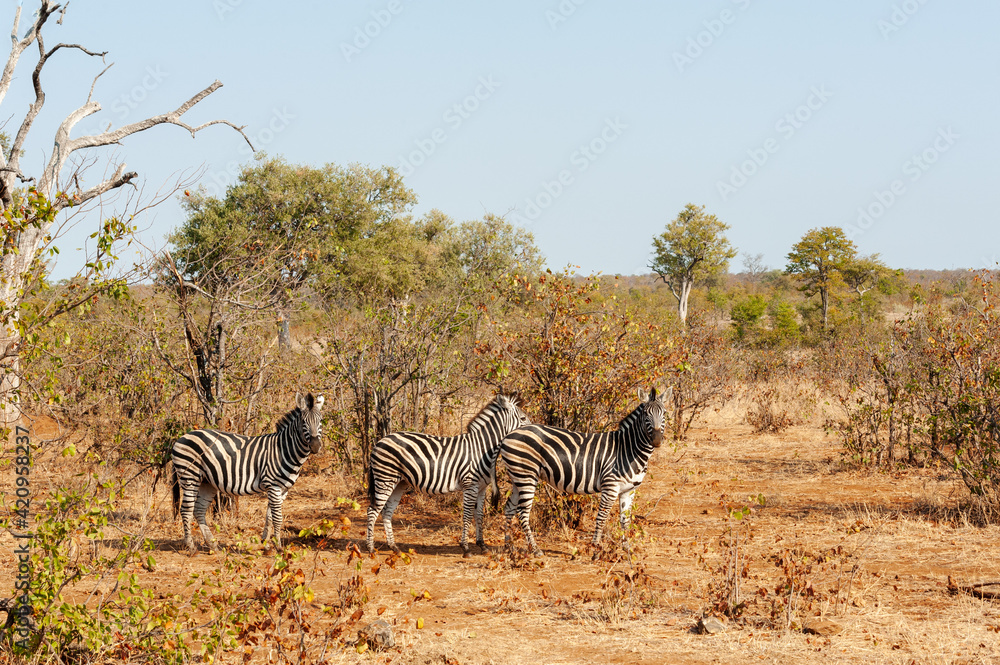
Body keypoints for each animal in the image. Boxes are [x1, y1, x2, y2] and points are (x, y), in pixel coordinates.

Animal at [169, 392, 325, 553]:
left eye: (321, 420)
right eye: (303, 422)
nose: (315, 446)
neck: (283, 450)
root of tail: (181, 437)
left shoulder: (283, 489)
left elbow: (269, 517)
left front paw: (266, 544)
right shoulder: (273, 485)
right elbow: (277, 518)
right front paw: (279, 547)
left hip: (207, 482)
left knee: (198, 510)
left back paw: (213, 545)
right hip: (190, 477)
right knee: (186, 510)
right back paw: (191, 547)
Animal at [366, 394, 530, 557]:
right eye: (523, 418)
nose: (531, 430)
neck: (481, 449)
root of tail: (380, 441)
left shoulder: (482, 488)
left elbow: (479, 515)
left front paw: (482, 546)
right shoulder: (470, 485)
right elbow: (467, 516)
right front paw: (465, 548)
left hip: (399, 483)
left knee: (387, 512)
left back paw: (394, 547)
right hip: (385, 479)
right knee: (372, 510)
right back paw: (371, 548)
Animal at [499, 387, 668, 557]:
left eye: (665, 413)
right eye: (646, 414)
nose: (656, 440)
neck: (628, 449)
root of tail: (509, 434)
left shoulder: (629, 490)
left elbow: (625, 521)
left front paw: (627, 549)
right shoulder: (610, 487)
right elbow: (601, 518)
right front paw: (596, 549)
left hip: (517, 477)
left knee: (509, 508)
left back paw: (508, 546)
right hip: (526, 476)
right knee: (522, 513)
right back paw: (535, 549)